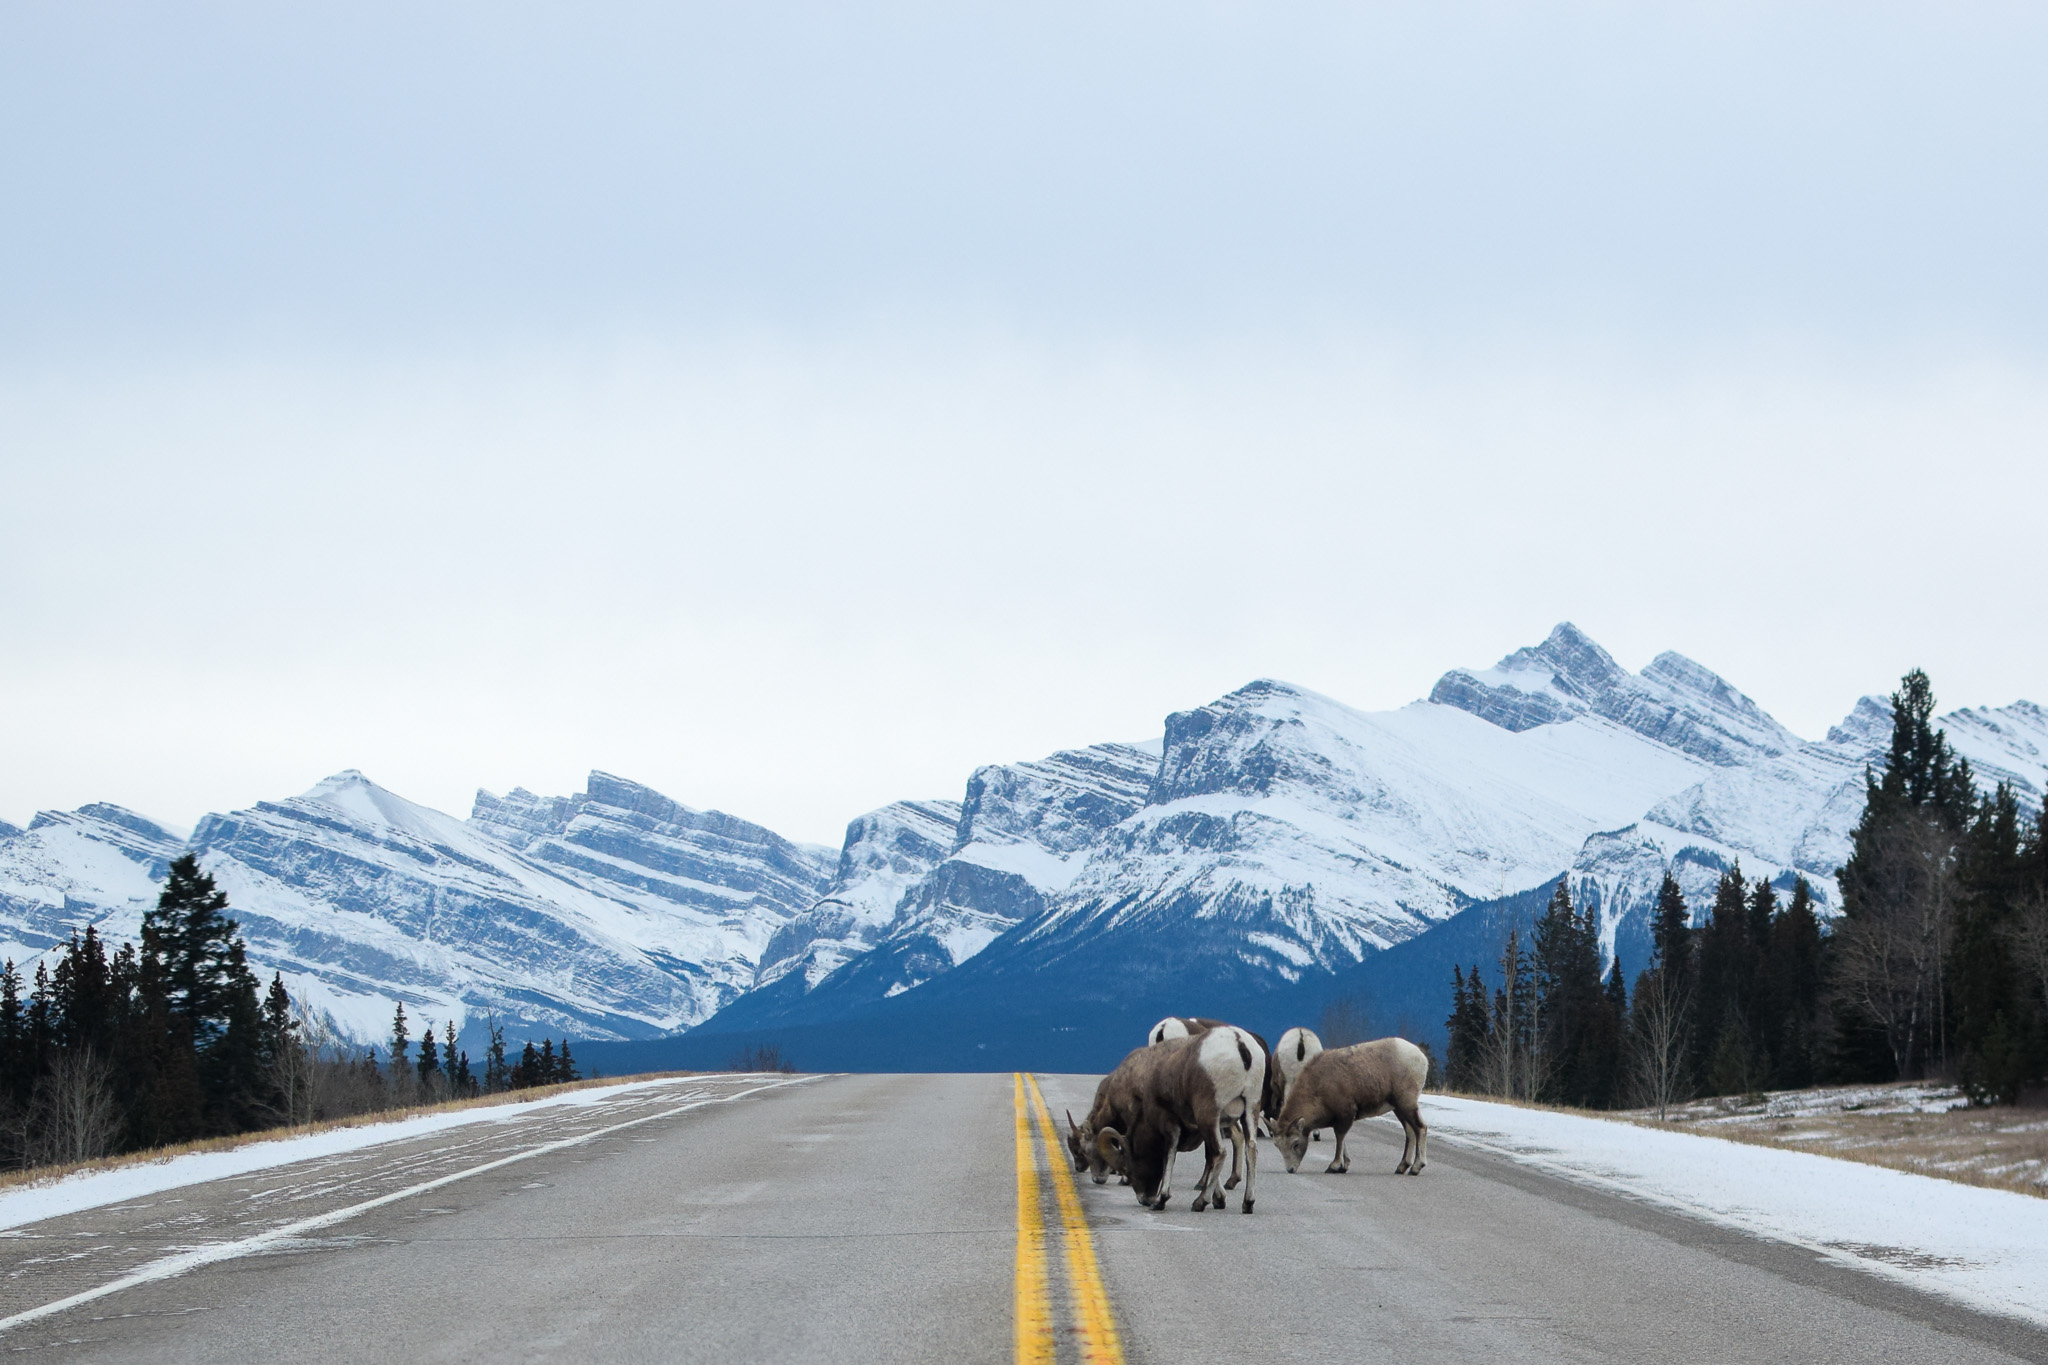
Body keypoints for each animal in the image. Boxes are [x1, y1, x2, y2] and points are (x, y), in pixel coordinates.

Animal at [1270, 1036, 1429, 1177]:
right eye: (1277, 1146)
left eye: (1295, 1143)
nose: (1290, 1169)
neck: (1318, 1087)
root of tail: (1421, 1057)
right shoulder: (1340, 1118)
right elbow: (1343, 1141)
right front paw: (1343, 1167)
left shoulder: (1345, 1115)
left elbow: (1340, 1138)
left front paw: (1334, 1167)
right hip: (1398, 1108)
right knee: (1410, 1131)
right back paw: (1401, 1168)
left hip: (1406, 1103)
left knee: (1420, 1128)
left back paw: (1415, 1168)